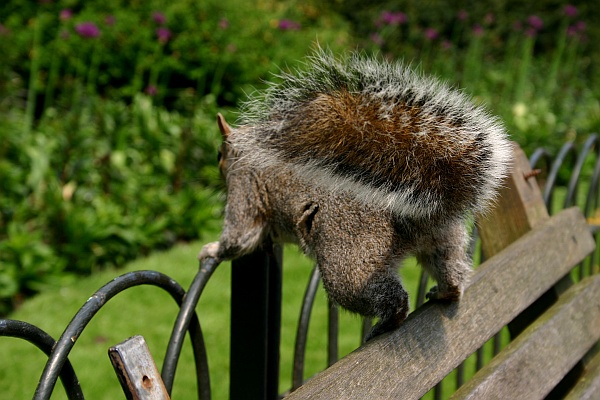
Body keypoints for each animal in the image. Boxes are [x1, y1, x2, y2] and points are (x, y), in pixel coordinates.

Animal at [198, 48, 510, 340]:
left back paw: (386, 322)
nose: (218, 164)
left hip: (349, 266)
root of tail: (418, 212)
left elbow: (240, 236)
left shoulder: (245, 185)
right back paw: (447, 291)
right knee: (451, 269)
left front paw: (212, 249)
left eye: (218, 155)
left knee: (386, 297)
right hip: (444, 240)